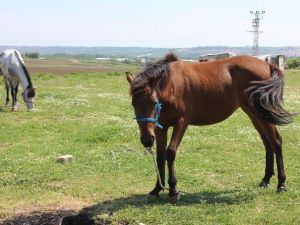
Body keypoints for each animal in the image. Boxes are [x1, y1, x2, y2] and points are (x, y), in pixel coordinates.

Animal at [125, 53, 292, 202]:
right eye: (133, 104)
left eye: (154, 102)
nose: (146, 140)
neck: (171, 84)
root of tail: (267, 64)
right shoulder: (161, 127)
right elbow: (160, 157)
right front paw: (157, 189)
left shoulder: (181, 123)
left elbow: (170, 153)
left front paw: (173, 190)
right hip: (253, 113)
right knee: (267, 142)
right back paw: (266, 179)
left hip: (260, 113)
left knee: (276, 141)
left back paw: (281, 184)